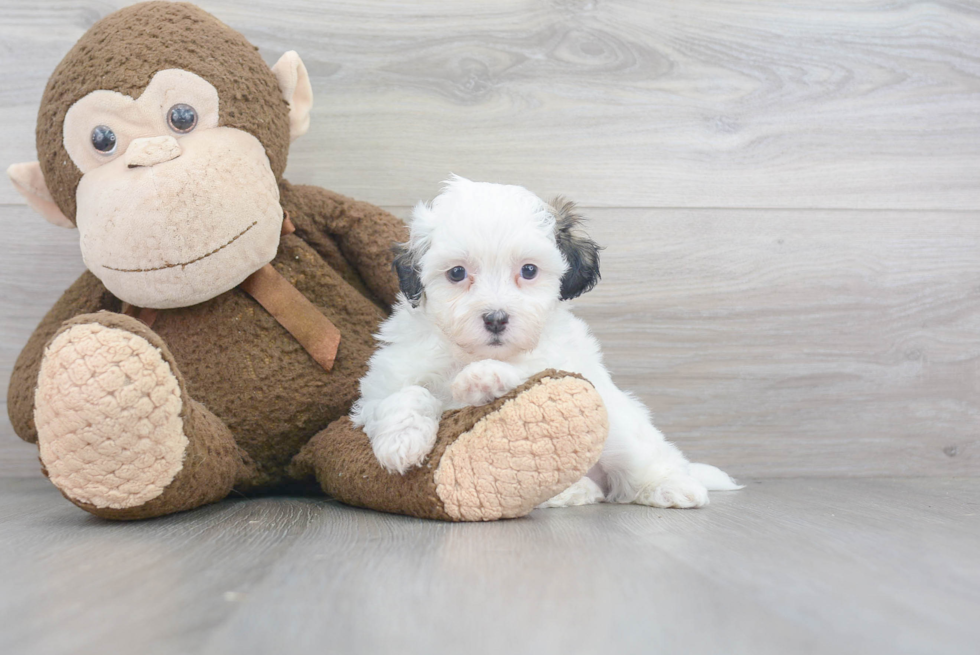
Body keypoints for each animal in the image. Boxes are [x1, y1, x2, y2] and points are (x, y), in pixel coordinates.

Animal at [352, 177, 744, 510]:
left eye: (528, 271)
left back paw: (672, 486)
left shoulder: (560, 365)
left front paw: (484, 378)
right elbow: (406, 393)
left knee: (642, 459)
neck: (468, 352)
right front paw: (401, 441)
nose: (496, 318)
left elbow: (527, 374)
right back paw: (577, 491)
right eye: (457, 273)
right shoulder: (381, 385)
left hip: (618, 423)